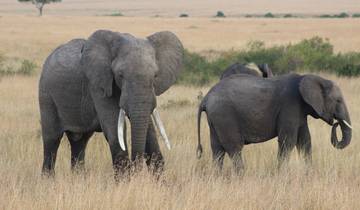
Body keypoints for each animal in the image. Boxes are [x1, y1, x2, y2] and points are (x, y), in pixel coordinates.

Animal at [39, 29, 184, 178]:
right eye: (120, 75)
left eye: (155, 75)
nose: (136, 168)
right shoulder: (98, 85)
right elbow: (114, 129)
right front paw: (125, 181)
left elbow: (150, 131)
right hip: (46, 95)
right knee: (52, 140)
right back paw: (48, 180)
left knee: (79, 142)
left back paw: (78, 178)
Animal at [197, 73, 352, 173]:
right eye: (338, 101)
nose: (335, 123)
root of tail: (205, 98)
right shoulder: (290, 106)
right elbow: (288, 141)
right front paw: (281, 174)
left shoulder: (300, 112)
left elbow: (305, 141)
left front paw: (309, 172)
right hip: (224, 115)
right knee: (234, 147)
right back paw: (242, 176)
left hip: (215, 118)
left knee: (217, 149)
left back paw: (217, 177)